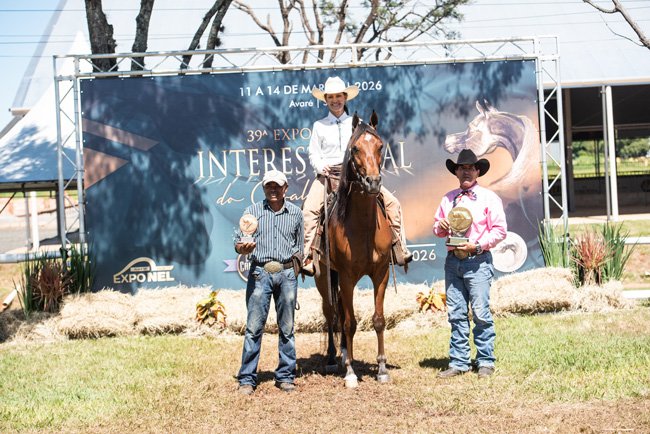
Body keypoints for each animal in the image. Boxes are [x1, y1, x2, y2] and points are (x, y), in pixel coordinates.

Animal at [314, 111, 394, 389]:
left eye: (380, 146)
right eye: (356, 148)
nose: (373, 182)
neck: (362, 226)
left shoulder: (381, 273)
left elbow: (378, 320)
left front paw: (381, 368)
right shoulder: (347, 277)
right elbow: (348, 323)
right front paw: (349, 373)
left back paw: (345, 354)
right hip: (324, 277)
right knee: (331, 313)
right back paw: (331, 358)